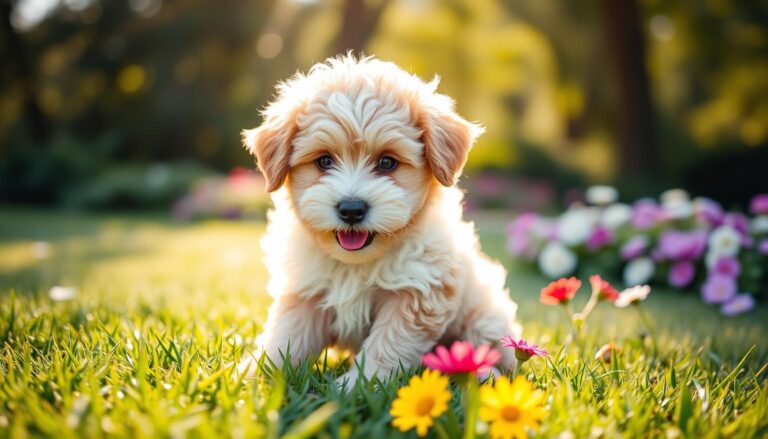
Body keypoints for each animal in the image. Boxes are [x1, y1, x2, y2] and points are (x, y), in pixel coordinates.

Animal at [242, 55, 520, 384]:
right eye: (324, 161)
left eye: (387, 162)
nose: (351, 209)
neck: (356, 264)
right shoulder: (304, 292)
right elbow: (287, 337)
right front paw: (255, 375)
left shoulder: (419, 292)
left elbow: (388, 344)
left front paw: (355, 385)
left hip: (485, 317)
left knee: (496, 353)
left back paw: (481, 373)